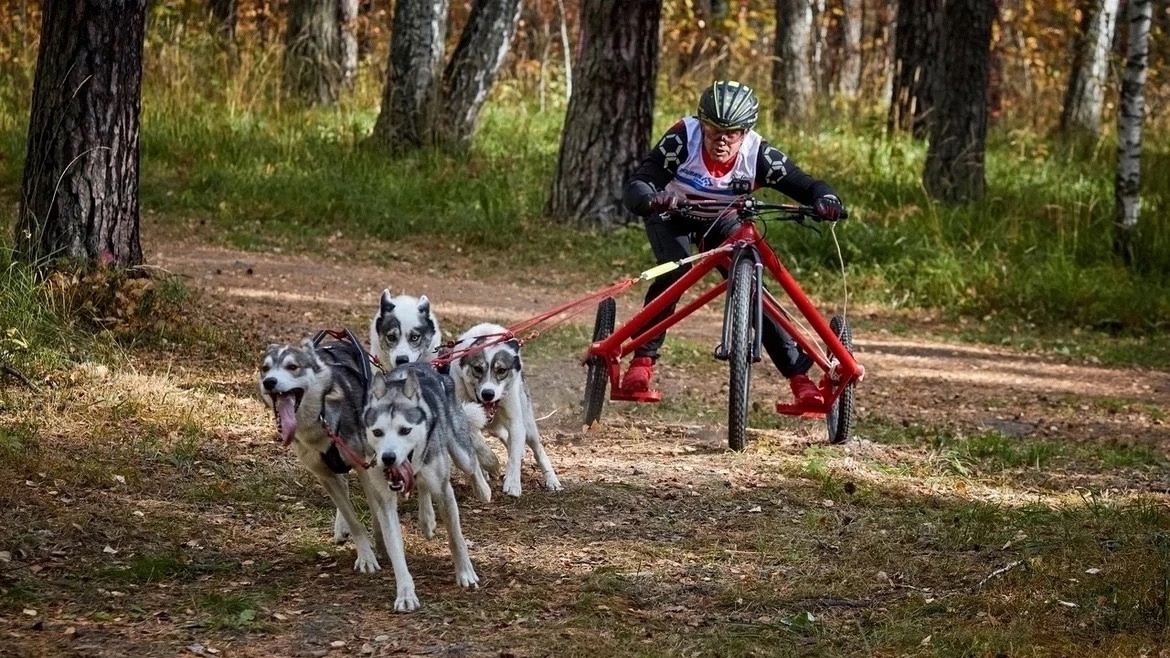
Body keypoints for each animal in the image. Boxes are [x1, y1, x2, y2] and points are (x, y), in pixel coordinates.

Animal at [360, 358, 484, 608]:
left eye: (405, 430)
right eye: (377, 432)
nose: (388, 457)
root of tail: (422, 364)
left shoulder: (445, 491)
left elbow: (456, 538)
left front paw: (466, 574)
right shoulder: (385, 501)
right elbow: (396, 551)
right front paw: (406, 594)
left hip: (460, 452)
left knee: (471, 462)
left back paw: (483, 489)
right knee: (423, 486)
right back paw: (426, 519)